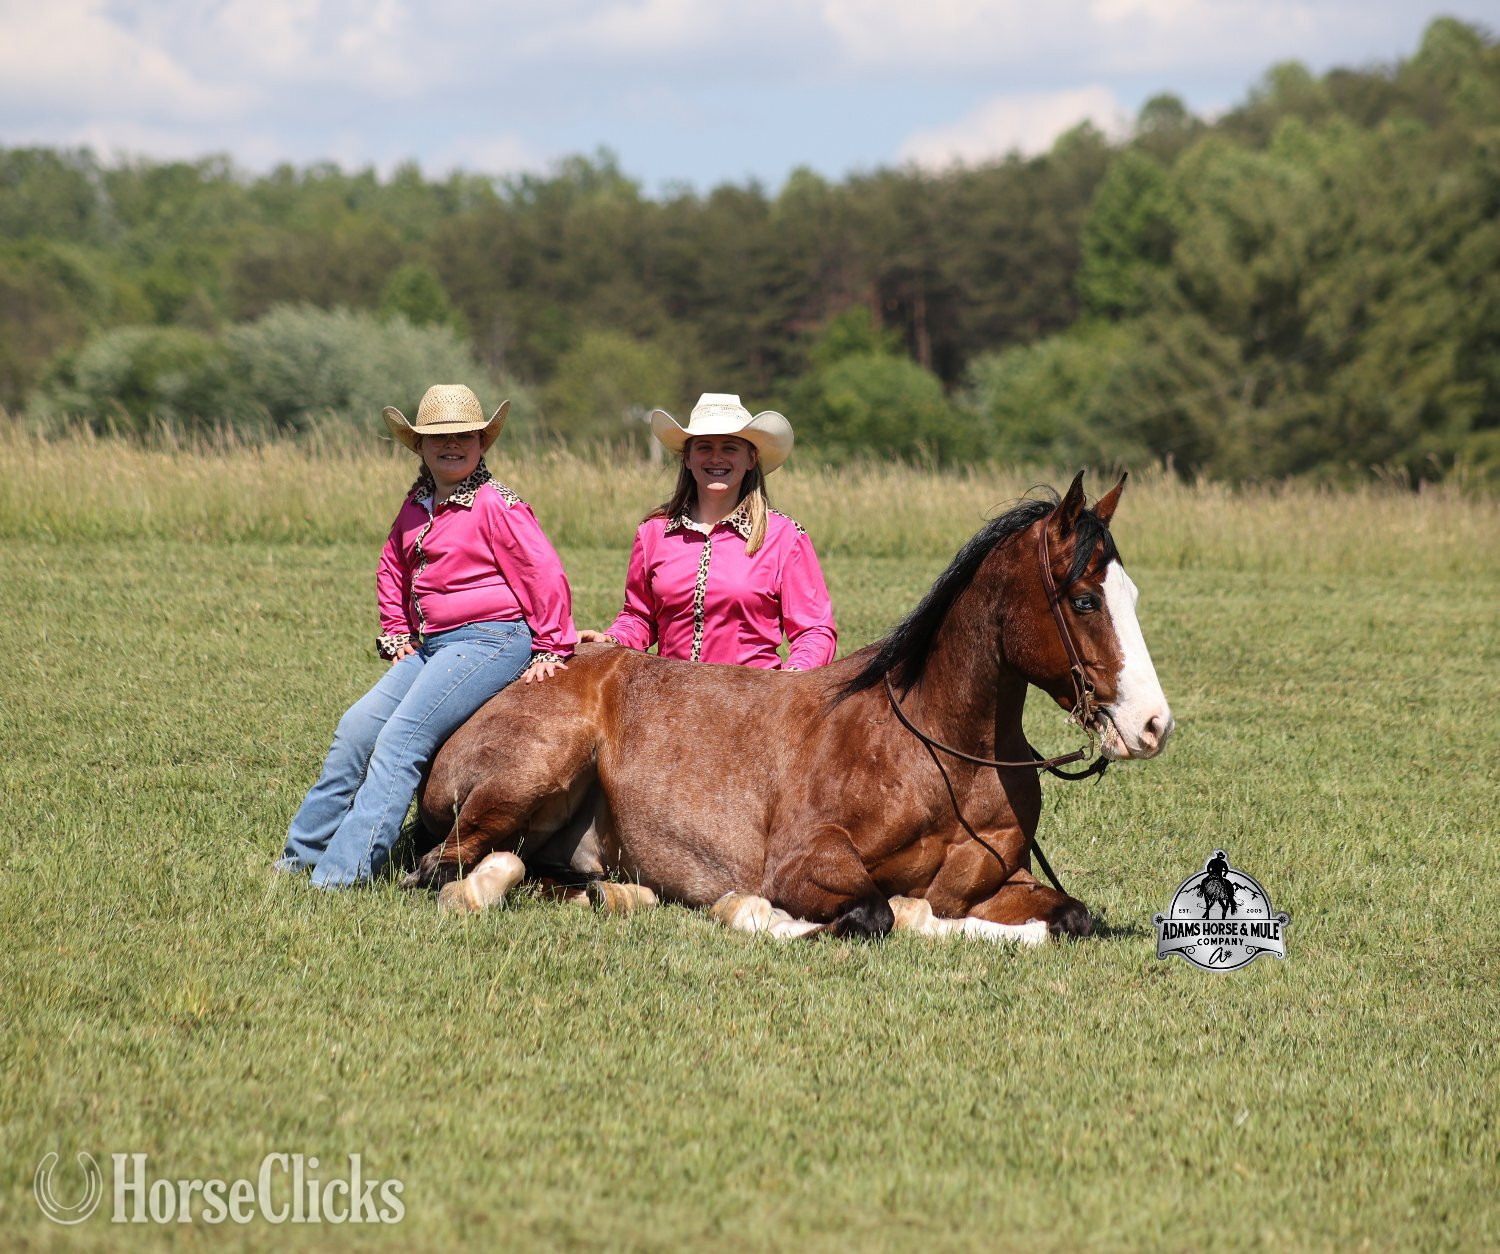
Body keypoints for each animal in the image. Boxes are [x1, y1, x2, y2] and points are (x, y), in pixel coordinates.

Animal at [403, 472, 1174, 941]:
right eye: (1085, 600)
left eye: (1131, 594)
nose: (1153, 725)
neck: (938, 752)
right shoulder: (807, 868)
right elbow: (873, 913)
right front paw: (749, 912)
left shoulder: (996, 885)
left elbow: (1066, 917)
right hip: (532, 775)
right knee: (445, 867)